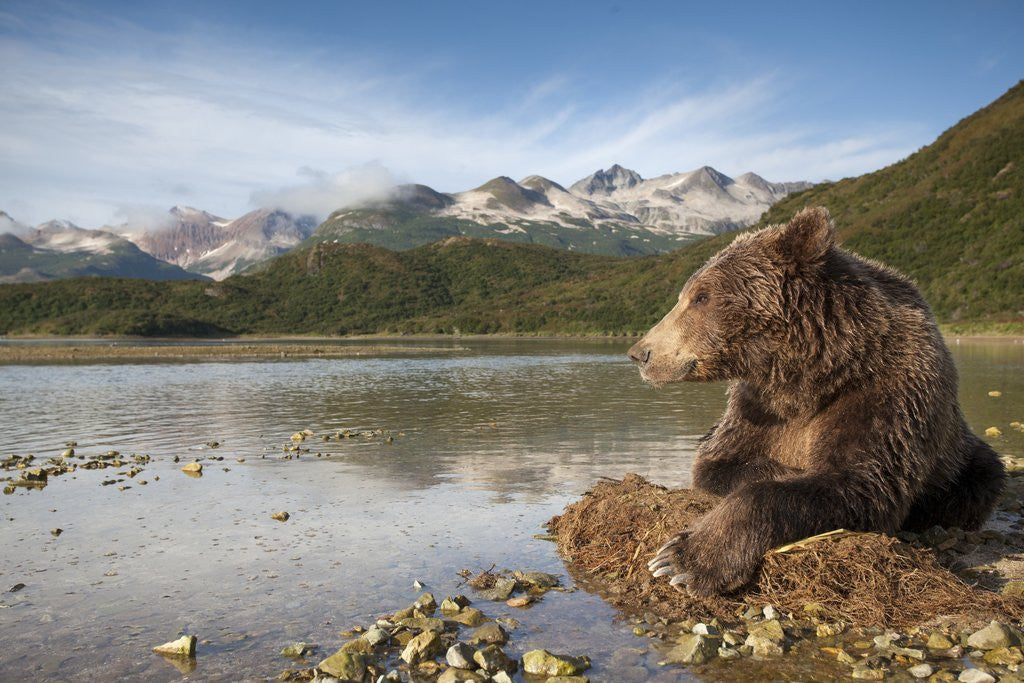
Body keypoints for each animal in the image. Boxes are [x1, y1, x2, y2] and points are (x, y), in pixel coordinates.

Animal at [627, 206, 1006, 597]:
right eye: (687, 295)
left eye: (702, 297)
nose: (640, 352)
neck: (814, 372)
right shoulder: (759, 406)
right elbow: (717, 462)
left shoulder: (887, 394)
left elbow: (860, 482)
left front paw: (682, 558)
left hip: (962, 459)